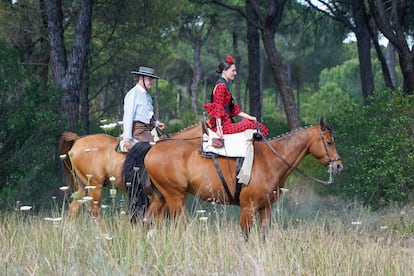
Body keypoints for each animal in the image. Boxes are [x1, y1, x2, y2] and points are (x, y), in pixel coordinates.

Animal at [124, 118, 344, 239]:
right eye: (329, 142)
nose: (339, 166)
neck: (271, 159)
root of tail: (153, 146)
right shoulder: (248, 209)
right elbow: (245, 237)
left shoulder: (266, 209)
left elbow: (263, 236)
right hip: (175, 198)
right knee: (174, 225)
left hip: (160, 198)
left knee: (146, 222)